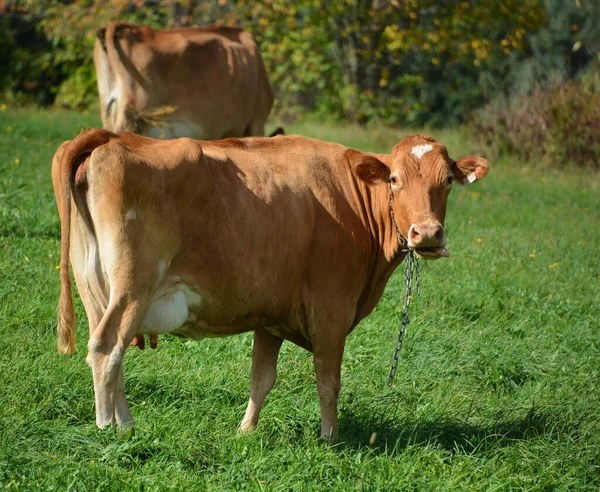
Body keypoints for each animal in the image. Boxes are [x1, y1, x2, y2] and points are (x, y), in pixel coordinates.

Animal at [51, 129, 488, 440]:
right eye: (394, 179)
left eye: (447, 181)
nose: (427, 234)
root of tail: (113, 136)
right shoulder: (331, 310)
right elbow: (328, 381)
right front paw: (329, 438)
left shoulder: (271, 318)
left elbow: (261, 380)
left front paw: (246, 431)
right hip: (132, 288)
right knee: (107, 348)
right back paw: (109, 428)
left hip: (96, 286)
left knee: (111, 353)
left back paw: (126, 424)